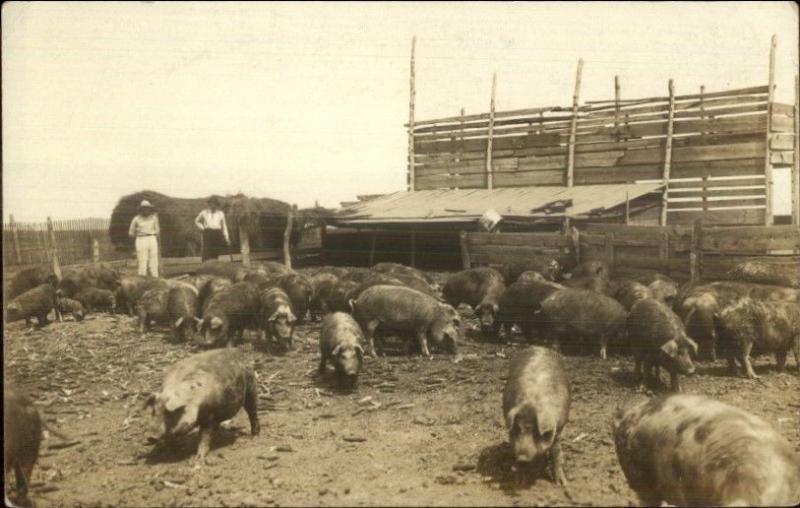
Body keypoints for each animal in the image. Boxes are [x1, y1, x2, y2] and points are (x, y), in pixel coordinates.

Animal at [500, 348, 568, 486]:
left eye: (535, 431)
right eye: (517, 429)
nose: (521, 457)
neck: (532, 400)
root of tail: (540, 347)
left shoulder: (558, 427)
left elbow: (556, 451)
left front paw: (562, 484)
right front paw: (519, 482)